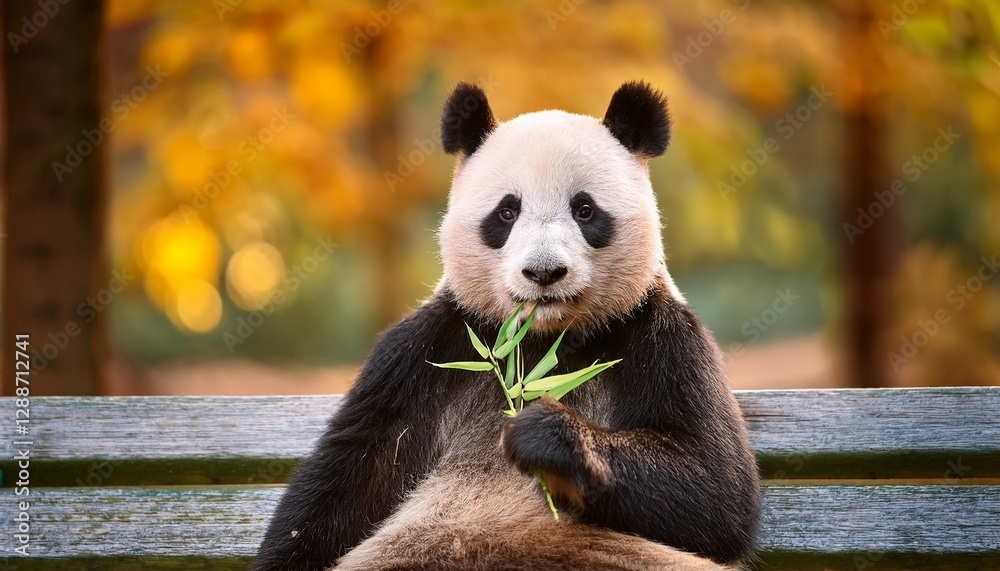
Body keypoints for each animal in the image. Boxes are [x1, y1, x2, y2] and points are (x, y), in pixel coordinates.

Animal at [252, 81, 762, 571]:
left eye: (585, 210)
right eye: (507, 212)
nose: (544, 272)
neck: (539, 341)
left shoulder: (660, 336)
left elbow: (713, 486)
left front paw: (544, 434)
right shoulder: (429, 349)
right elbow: (352, 476)